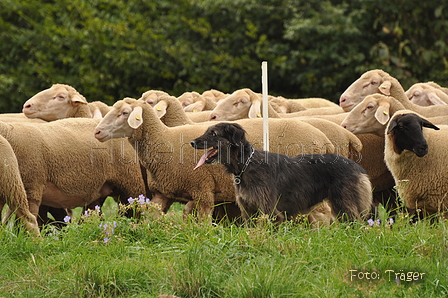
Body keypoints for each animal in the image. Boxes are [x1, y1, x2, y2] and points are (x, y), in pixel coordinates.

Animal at [93, 98, 336, 221]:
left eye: (125, 113)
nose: (97, 132)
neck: (163, 139)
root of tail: (325, 140)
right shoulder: (166, 192)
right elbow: (157, 216)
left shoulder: (202, 189)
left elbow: (202, 223)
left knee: (322, 215)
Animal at [191, 122, 372, 222]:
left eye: (213, 133)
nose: (192, 142)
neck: (246, 164)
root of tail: (358, 168)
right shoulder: (249, 212)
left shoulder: (270, 213)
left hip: (346, 205)